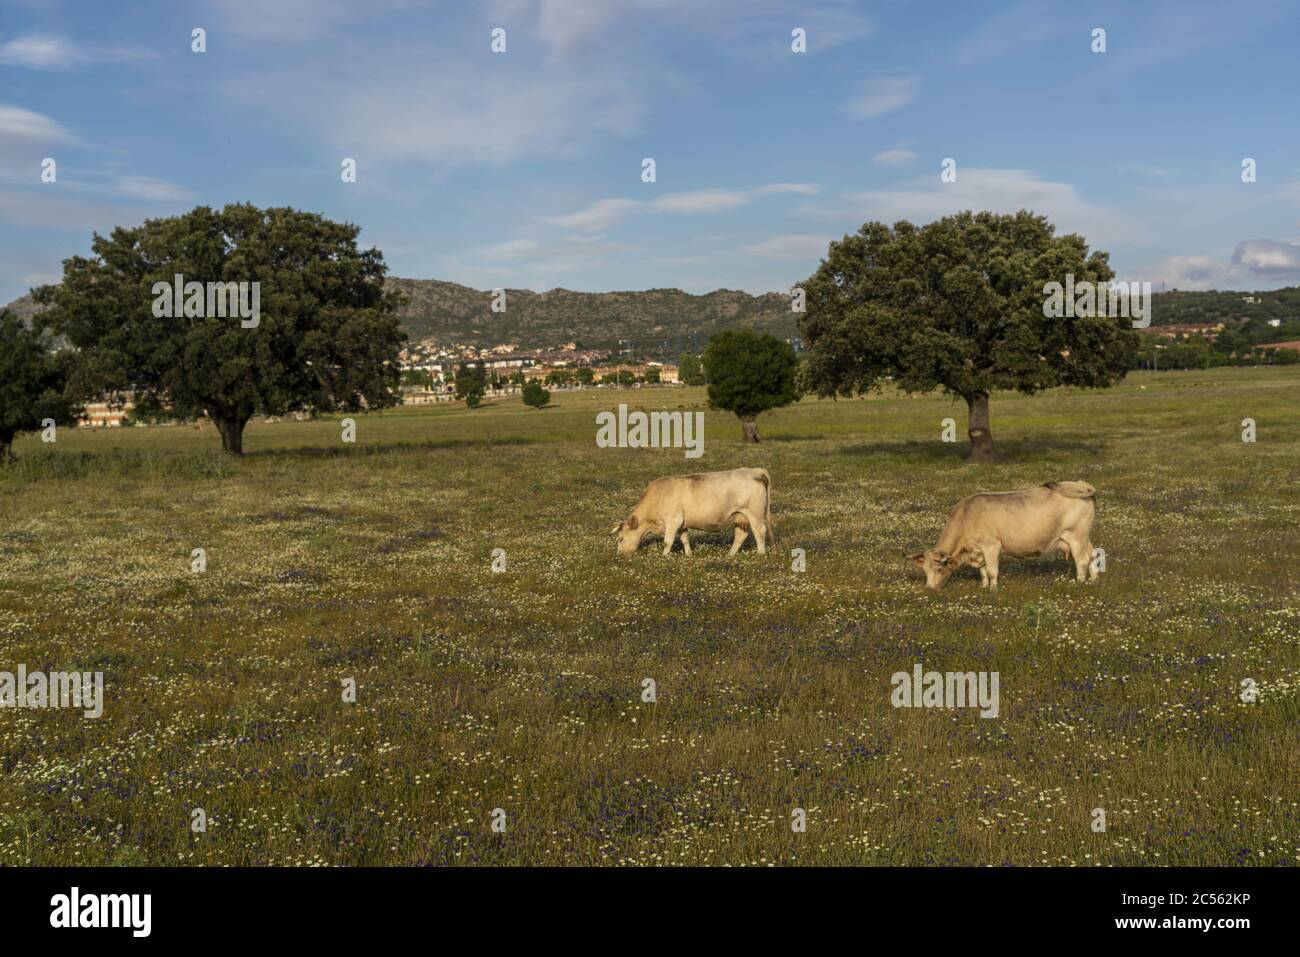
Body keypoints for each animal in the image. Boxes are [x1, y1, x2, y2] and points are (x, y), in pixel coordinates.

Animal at [614, 468, 772, 556]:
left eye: (621, 538)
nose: (619, 554)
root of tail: (755, 470)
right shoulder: (682, 524)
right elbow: (685, 539)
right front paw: (688, 555)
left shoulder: (673, 521)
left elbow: (667, 542)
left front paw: (664, 556)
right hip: (740, 517)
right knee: (741, 535)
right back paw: (730, 555)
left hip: (755, 514)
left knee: (760, 532)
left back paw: (760, 553)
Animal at [908, 481, 1098, 591]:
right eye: (924, 570)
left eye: (939, 569)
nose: (930, 588)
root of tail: (1080, 484)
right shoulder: (979, 550)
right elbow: (983, 571)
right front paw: (984, 586)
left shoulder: (991, 545)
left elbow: (992, 570)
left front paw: (993, 589)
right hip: (1084, 537)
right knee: (1093, 555)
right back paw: (1094, 580)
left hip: (1076, 536)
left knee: (1081, 560)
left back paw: (1080, 582)